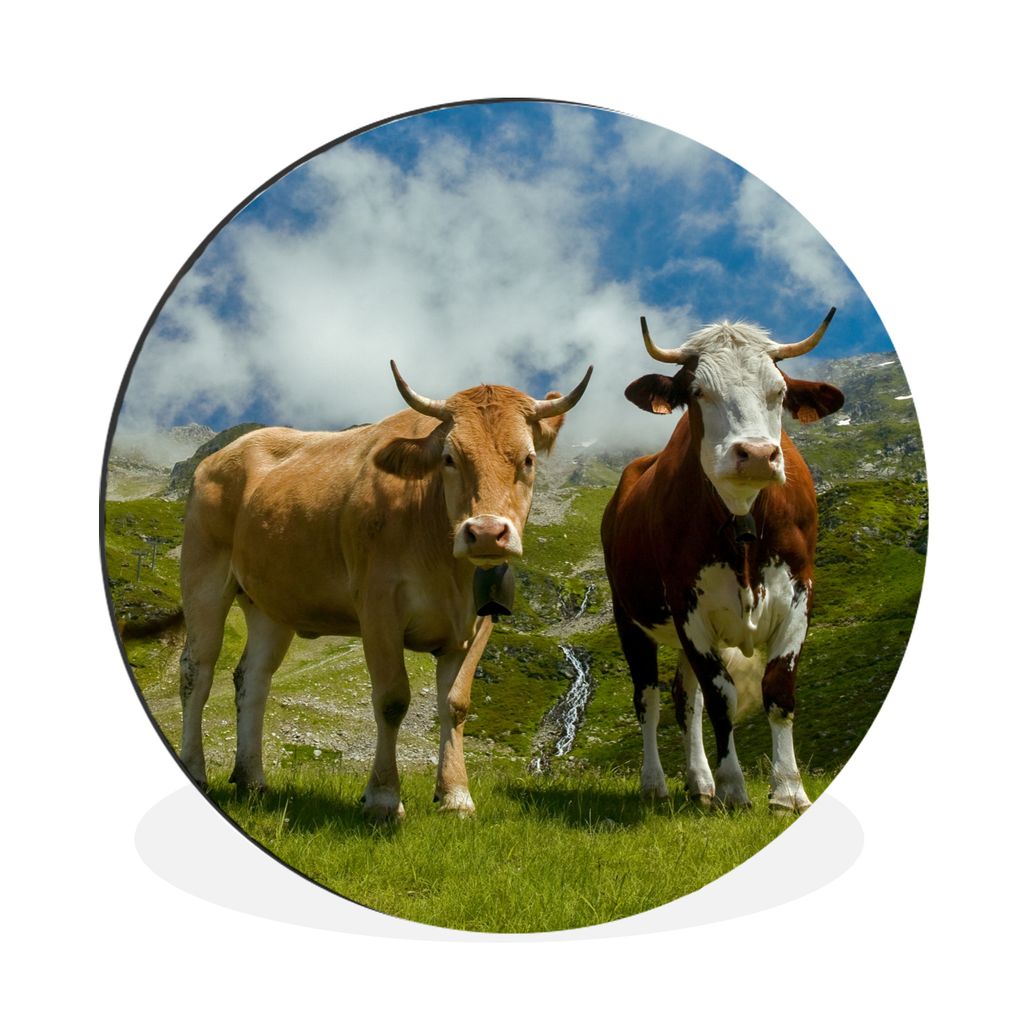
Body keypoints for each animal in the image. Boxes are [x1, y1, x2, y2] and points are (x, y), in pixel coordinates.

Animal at [177, 361, 592, 819]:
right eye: (449, 458)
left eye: (528, 459)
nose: (485, 533)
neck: (447, 565)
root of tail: (223, 455)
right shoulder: (377, 606)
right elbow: (392, 700)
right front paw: (382, 797)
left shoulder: (479, 622)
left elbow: (456, 705)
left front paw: (455, 795)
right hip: (204, 575)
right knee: (197, 671)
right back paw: (195, 769)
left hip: (271, 603)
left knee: (253, 679)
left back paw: (252, 779)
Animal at [601, 310, 843, 812]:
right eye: (698, 392)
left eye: (780, 392)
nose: (756, 454)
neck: (742, 517)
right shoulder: (688, 607)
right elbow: (721, 697)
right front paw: (735, 788)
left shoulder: (799, 595)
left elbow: (778, 689)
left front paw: (787, 790)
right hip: (629, 617)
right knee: (649, 699)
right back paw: (655, 783)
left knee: (684, 699)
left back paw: (699, 782)